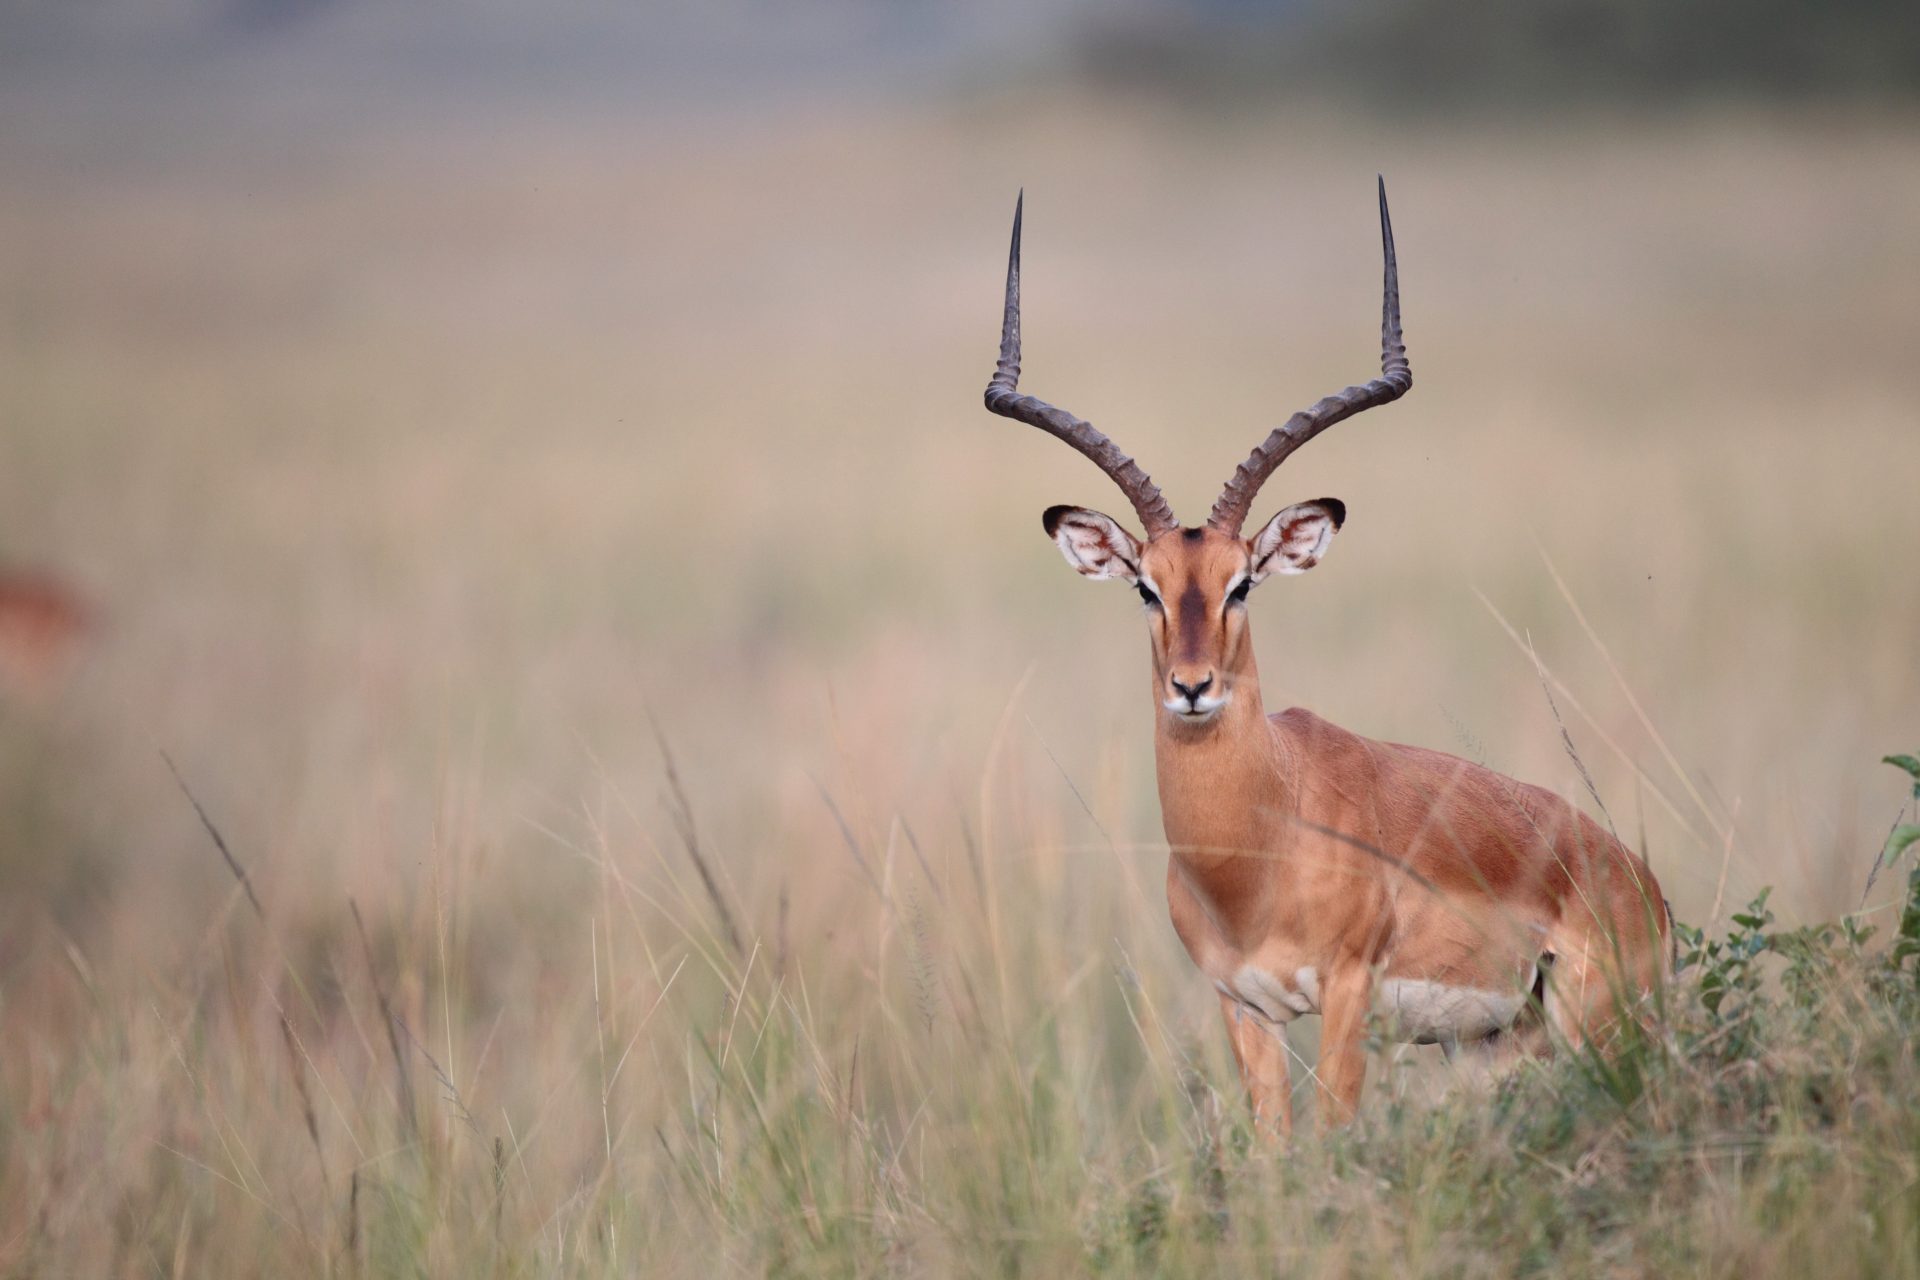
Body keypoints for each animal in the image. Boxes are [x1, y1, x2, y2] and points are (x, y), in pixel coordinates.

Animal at [983, 180, 1674, 1128]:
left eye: (1241, 584)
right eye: (1147, 589)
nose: (1191, 687)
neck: (1258, 839)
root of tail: (1644, 887)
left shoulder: (1349, 994)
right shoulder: (1244, 1006)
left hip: (1594, 1027)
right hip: (1494, 1044)